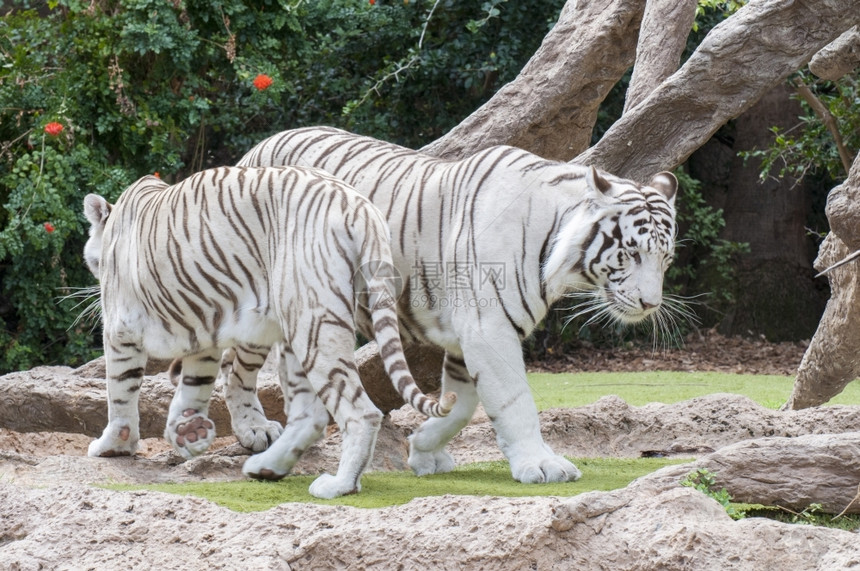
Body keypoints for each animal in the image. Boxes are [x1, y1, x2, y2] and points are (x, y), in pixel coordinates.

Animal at [82, 166, 456, 500]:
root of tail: (359, 205)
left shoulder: (120, 328)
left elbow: (120, 391)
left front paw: (114, 445)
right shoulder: (204, 330)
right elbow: (195, 384)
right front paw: (190, 431)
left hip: (313, 323)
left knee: (360, 412)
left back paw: (339, 485)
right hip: (297, 333)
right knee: (310, 415)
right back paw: (266, 467)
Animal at [227, 127, 680, 484]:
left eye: (666, 258)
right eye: (632, 253)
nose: (649, 303)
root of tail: (259, 146)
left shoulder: (471, 338)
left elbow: (460, 406)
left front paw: (423, 449)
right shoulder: (488, 328)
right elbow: (514, 401)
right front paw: (541, 465)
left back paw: (272, 460)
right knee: (239, 370)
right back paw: (254, 431)